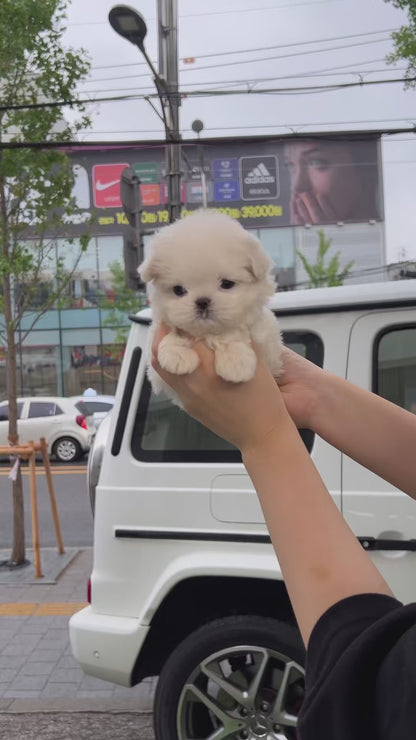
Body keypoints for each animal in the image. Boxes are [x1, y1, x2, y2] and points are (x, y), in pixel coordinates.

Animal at [139, 208, 282, 404]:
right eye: (178, 290)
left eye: (227, 284)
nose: (202, 301)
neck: (206, 333)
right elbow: (173, 332)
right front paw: (178, 356)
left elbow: (233, 333)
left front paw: (235, 363)